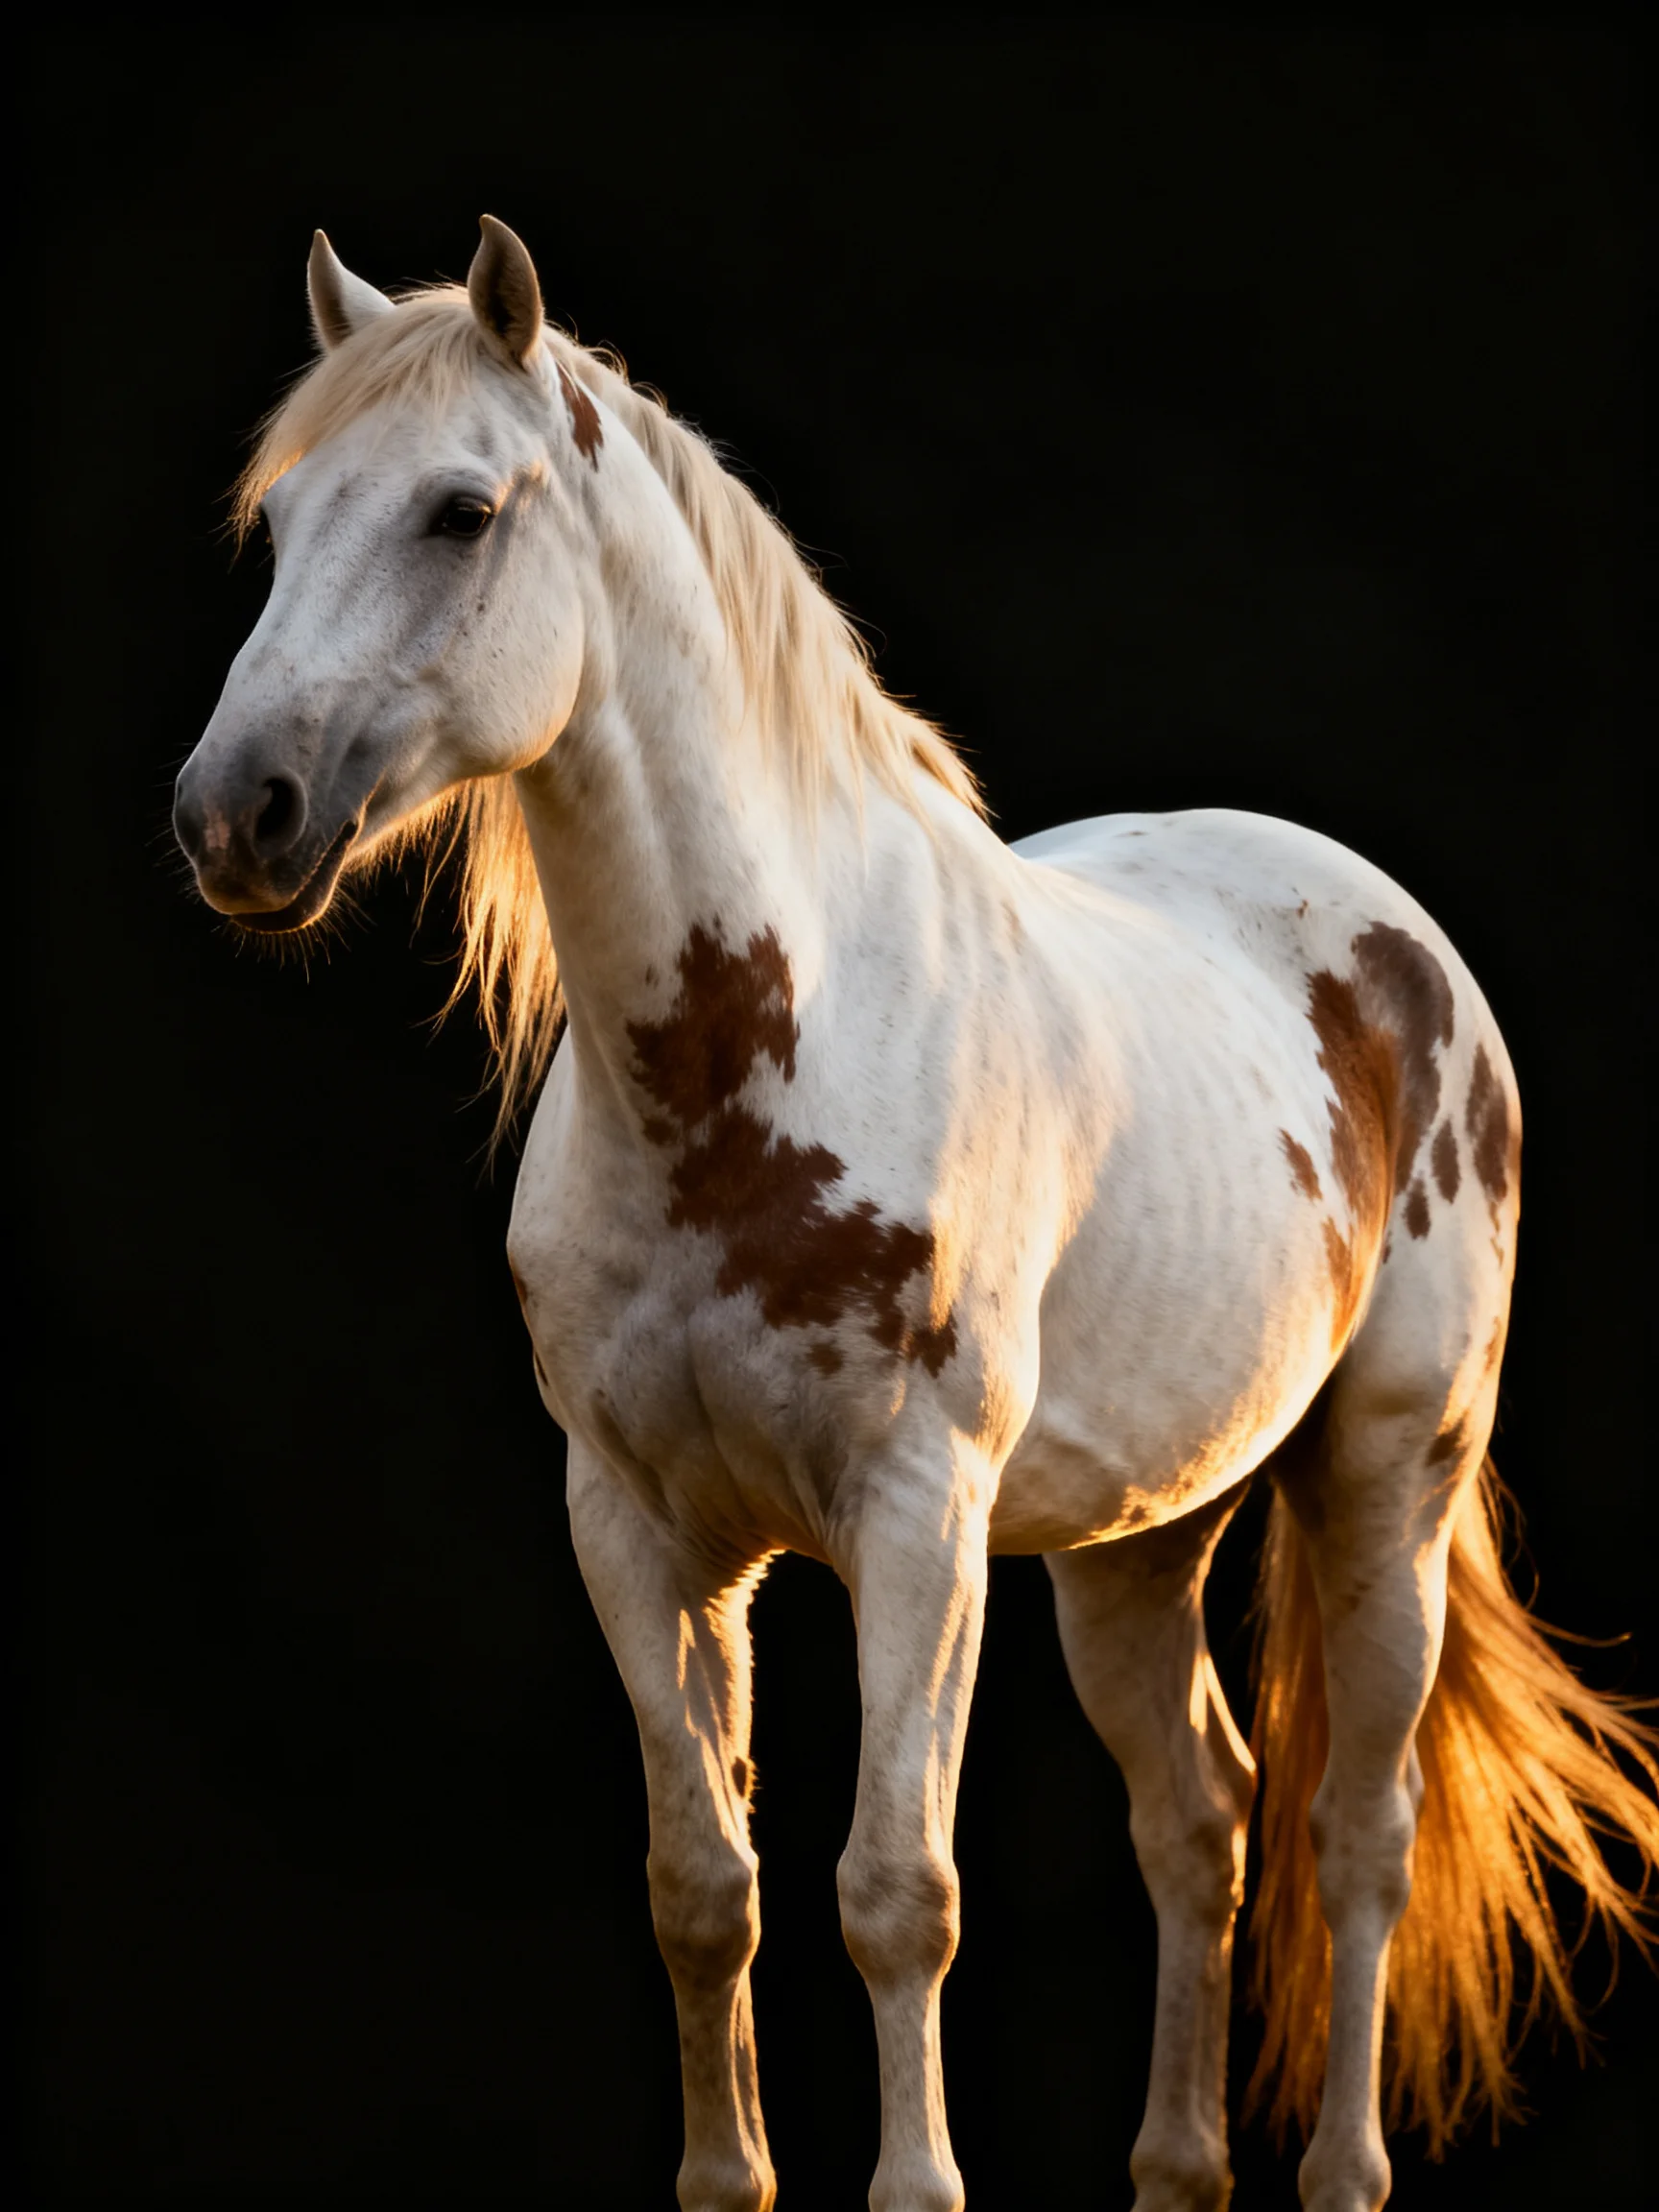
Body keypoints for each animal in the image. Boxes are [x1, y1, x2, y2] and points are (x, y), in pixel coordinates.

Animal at [172, 217, 1659, 2212]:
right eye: (278, 523)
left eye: (459, 510)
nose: (233, 815)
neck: (755, 1061)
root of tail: (1386, 934)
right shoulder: (632, 1525)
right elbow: (700, 1889)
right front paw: (727, 2174)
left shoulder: (915, 1519)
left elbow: (895, 1891)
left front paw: (915, 2179)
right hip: (1134, 1537)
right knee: (1197, 1816)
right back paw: (1176, 2161)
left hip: (1382, 1480)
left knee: (1358, 1828)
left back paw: (1341, 2163)